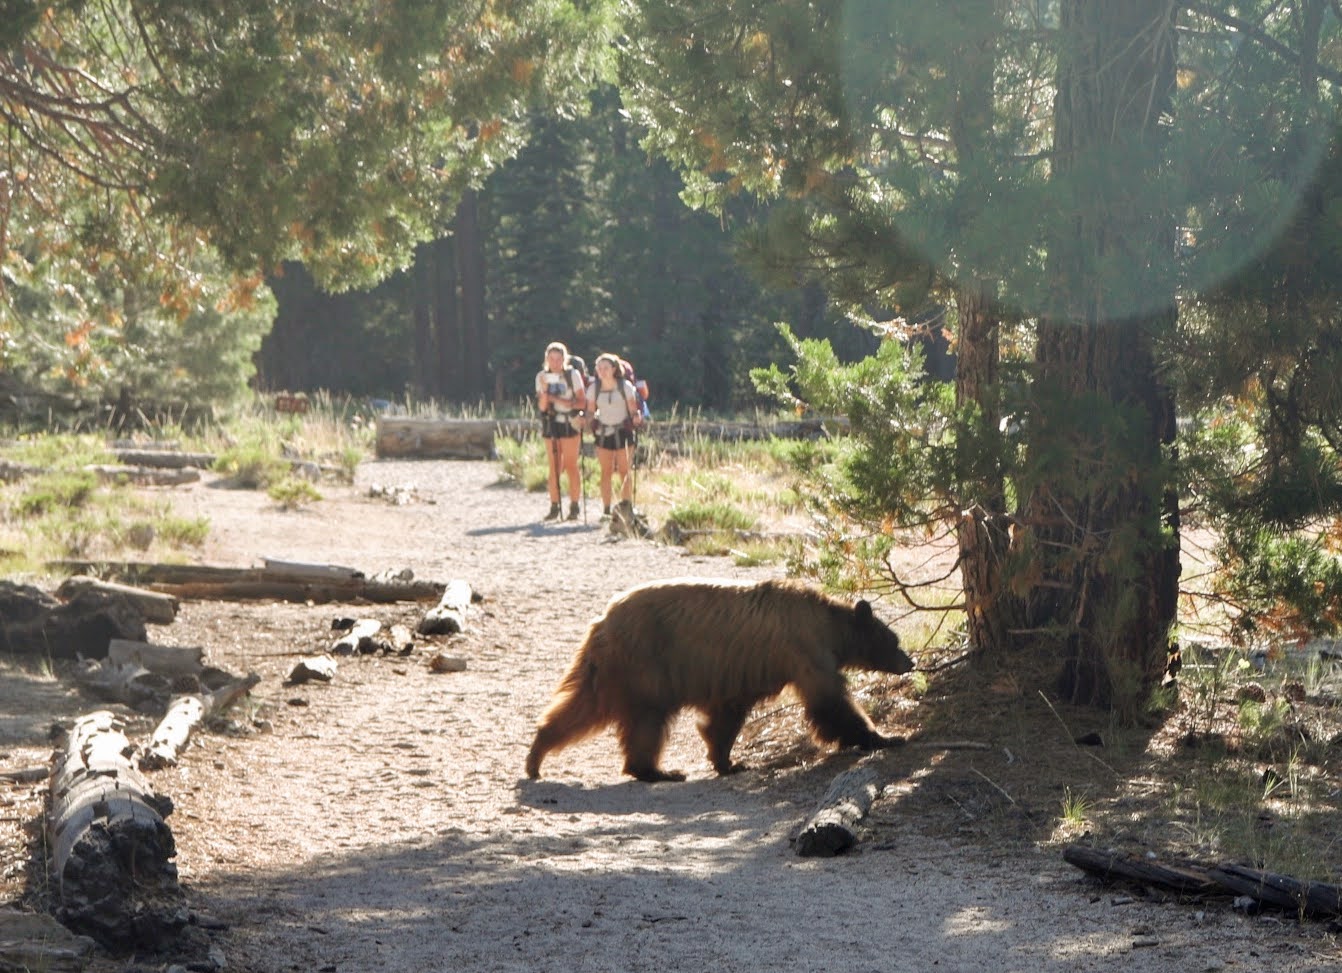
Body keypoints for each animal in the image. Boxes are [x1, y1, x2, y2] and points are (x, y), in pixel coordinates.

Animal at [525, 577, 914, 782]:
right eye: (895, 640)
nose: (909, 662)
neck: (831, 628)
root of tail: (602, 620)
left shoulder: (744, 672)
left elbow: (727, 715)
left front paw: (728, 759)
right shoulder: (804, 650)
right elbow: (830, 702)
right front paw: (884, 736)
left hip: (615, 669)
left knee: (588, 707)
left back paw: (540, 753)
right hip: (644, 663)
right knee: (641, 718)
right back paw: (657, 770)